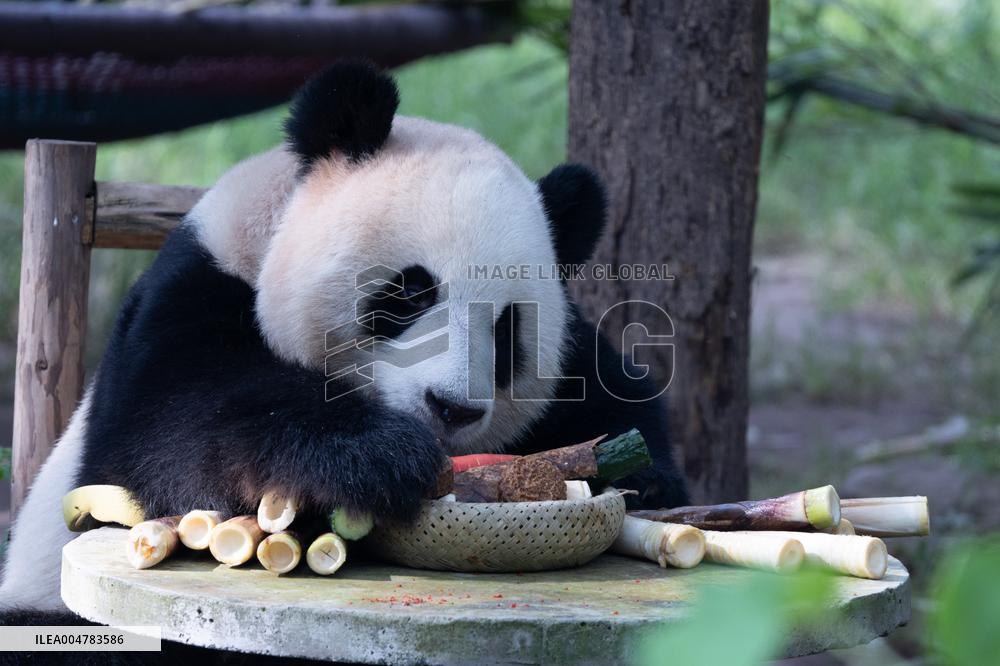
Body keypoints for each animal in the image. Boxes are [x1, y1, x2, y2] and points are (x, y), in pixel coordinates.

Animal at [0, 61, 688, 621]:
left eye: (507, 330)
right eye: (411, 292)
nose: (451, 409)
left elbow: (610, 392)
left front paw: (645, 475)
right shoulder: (192, 297)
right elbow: (171, 430)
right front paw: (370, 456)